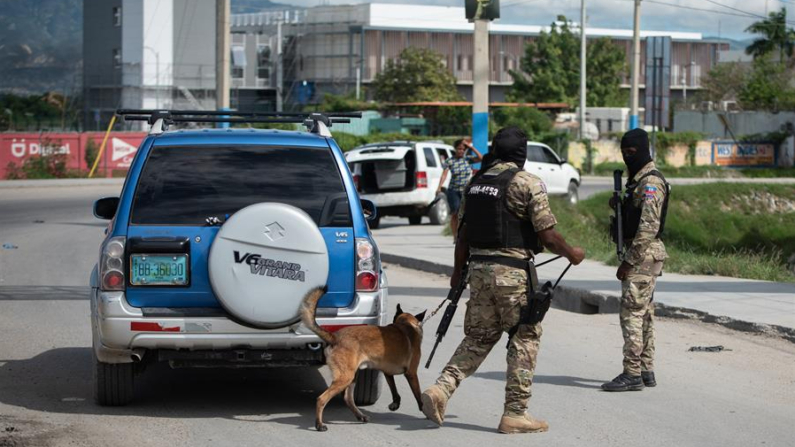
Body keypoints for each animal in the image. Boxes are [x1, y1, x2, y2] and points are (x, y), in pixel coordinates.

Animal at [300, 288, 426, 432]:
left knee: (348, 398)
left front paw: (395, 404)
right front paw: (426, 411)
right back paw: (319, 424)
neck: (406, 324)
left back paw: (360, 416)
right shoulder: (412, 374)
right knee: (321, 399)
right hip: (346, 377)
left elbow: (394, 391)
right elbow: (418, 394)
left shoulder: (388, 373)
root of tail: (334, 337)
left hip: (352, 376)